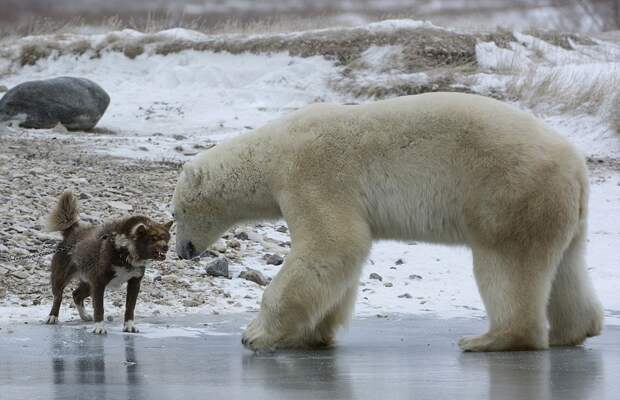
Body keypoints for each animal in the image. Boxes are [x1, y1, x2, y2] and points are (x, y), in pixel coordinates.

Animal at [45, 192, 172, 332]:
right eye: (153, 238)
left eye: (165, 237)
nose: (166, 247)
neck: (125, 251)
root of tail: (72, 231)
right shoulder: (99, 282)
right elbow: (99, 308)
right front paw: (99, 327)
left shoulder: (134, 283)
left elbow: (130, 308)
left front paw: (129, 326)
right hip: (62, 278)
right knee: (58, 297)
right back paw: (53, 316)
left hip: (88, 283)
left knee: (76, 294)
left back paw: (84, 316)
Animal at [172, 92, 604, 352]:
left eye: (175, 213)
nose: (181, 251)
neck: (272, 151)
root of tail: (576, 167)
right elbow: (340, 262)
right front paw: (312, 334)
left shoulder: (313, 174)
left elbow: (332, 245)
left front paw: (255, 334)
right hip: (559, 209)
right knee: (567, 266)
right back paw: (573, 331)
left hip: (508, 194)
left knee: (506, 264)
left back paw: (489, 339)